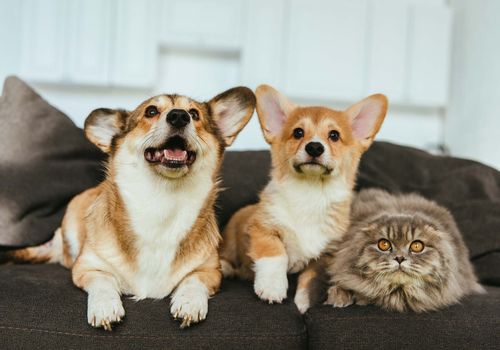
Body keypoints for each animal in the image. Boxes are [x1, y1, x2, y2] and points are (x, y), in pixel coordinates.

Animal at [1, 87, 256, 328]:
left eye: (194, 114)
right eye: (151, 111)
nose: (179, 116)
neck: (161, 200)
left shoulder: (208, 272)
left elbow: (193, 281)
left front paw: (189, 303)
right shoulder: (88, 268)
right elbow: (103, 282)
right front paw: (105, 307)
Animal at [221, 84, 388, 312]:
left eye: (334, 135)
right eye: (298, 132)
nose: (314, 147)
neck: (310, 193)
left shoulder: (323, 256)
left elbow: (308, 280)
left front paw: (302, 304)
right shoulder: (264, 229)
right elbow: (275, 255)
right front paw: (272, 288)